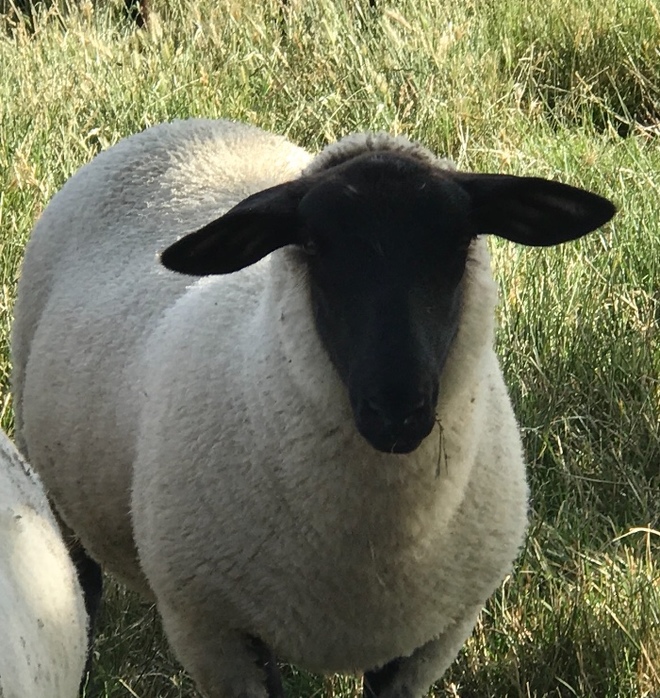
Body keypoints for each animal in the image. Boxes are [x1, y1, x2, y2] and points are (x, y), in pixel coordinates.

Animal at [11, 118, 616, 698]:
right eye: (314, 245)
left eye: (458, 243)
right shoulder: (216, 633)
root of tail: (174, 128)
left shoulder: (431, 640)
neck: (377, 553)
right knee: (84, 594)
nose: (397, 409)